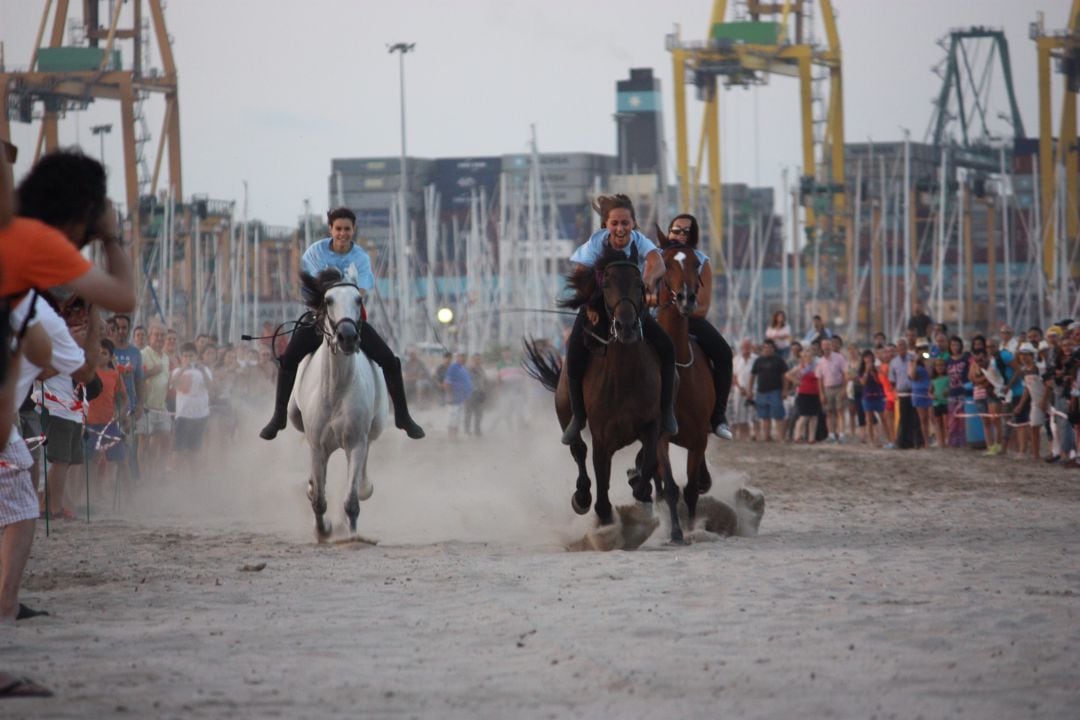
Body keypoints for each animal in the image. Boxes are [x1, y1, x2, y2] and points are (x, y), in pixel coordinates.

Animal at [287, 268, 388, 539]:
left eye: (358, 299)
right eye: (329, 300)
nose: (348, 337)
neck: (336, 390)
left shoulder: (355, 443)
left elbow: (351, 500)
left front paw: (351, 534)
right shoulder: (317, 446)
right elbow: (319, 499)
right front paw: (323, 530)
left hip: (376, 426)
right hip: (294, 416)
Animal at [522, 245, 682, 544]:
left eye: (639, 284)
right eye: (605, 284)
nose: (626, 327)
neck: (625, 377)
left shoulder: (652, 424)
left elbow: (649, 460)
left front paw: (640, 489)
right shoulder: (601, 436)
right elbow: (600, 474)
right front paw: (605, 518)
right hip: (566, 412)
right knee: (578, 450)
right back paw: (582, 497)